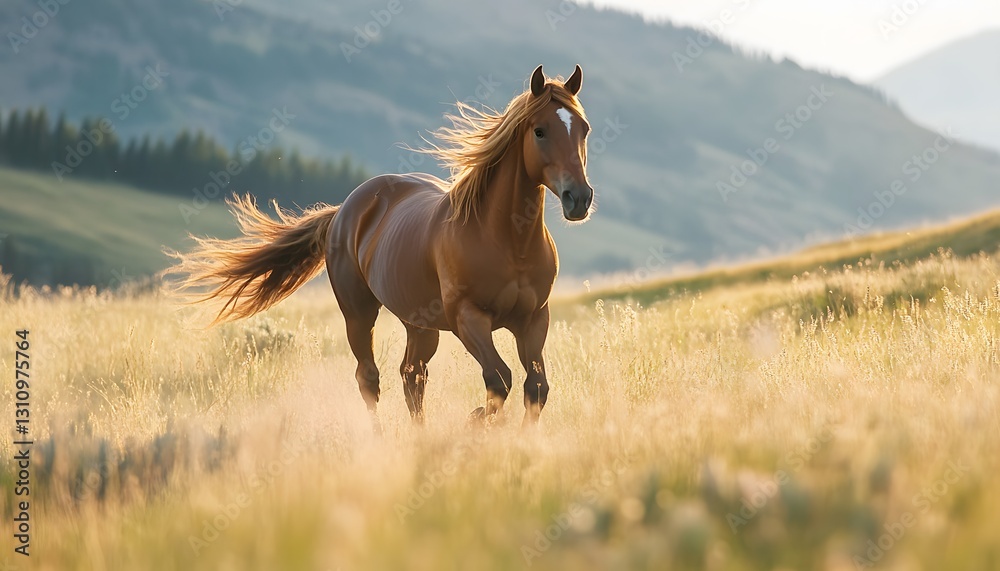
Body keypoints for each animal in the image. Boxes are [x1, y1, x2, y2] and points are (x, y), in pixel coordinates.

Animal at [169, 65, 594, 428]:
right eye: (539, 131)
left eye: (584, 130)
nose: (579, 198)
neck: (507, 240)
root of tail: (344, 210)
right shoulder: (468, 318)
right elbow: (499, 379)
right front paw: (473, 421)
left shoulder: (534, 318)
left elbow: (535, 388)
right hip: (359, 314)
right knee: (369, 378)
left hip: (419, 324)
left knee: (412, 377)